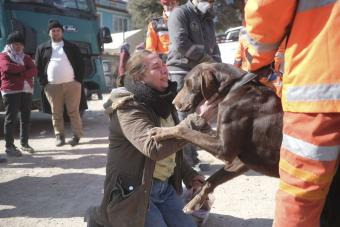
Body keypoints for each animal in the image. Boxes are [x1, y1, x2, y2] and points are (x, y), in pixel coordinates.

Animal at [151, 62, 338, 225]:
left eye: (188, 83)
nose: (174, 103)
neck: (234, 88)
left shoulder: (223, 149)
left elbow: (183, 131)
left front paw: (161, 132)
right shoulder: (238, 160)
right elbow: (211, 180)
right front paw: (194, 203)